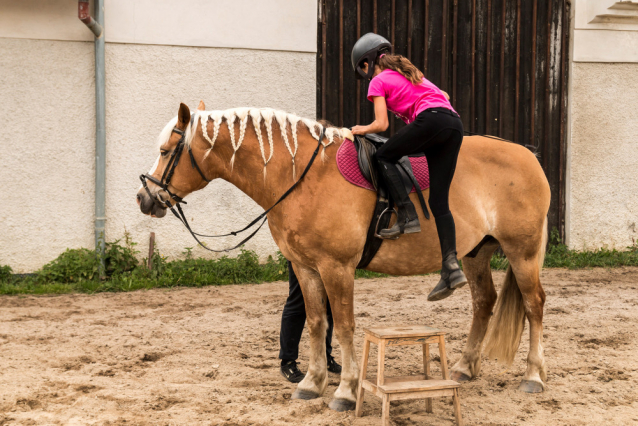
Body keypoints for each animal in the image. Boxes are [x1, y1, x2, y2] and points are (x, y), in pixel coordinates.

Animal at [138, 102, 552, 412]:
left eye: (164, 152)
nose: (145, 198)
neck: (302, 177)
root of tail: (527, 156)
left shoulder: (337, 269)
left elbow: (345, 326)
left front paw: (347, 389)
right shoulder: (306, 268)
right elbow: (316, 323)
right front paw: (311, 382)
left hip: (523, 252)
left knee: (534, 304)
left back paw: (533, 375)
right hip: (475, 254)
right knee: (484, 302)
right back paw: (465, 367)